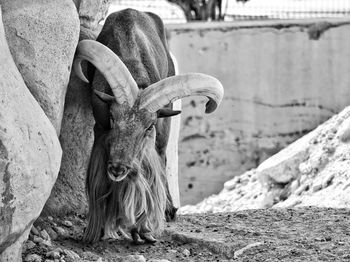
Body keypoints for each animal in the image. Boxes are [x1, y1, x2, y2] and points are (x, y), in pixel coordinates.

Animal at [73, 9, 224, 245]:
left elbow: (149, 176)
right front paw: (95, 231)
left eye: (148, 126)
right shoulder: (101, 130)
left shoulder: (152, 141)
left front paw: (143, 230)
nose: (117, 169)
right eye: (113, 117)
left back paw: (169, 210)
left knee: (163, 160)